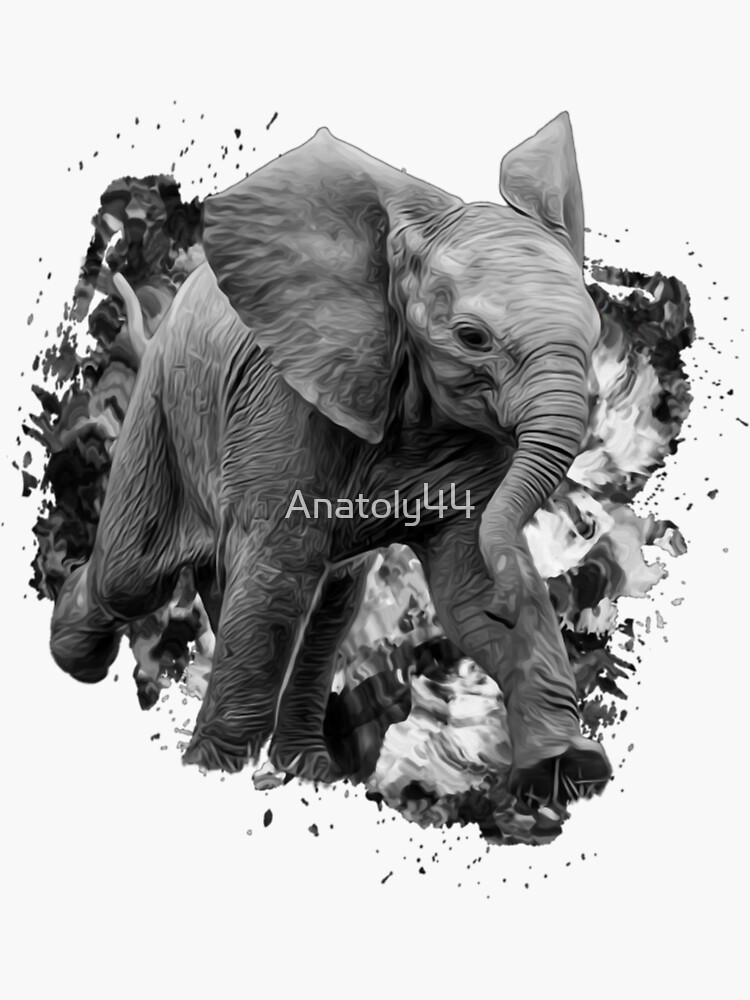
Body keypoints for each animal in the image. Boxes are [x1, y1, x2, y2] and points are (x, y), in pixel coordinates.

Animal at [50, 111, 612, 808]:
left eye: (596, 335)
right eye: (472, 338)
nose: (564, 583)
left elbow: (466, 584)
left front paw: (569, 772)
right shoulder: (288, 398)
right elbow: (279, 575)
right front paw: (211, 771)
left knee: (327, 606)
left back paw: (311, 769)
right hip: (159, 419)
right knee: (135, 574)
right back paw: (77, 658)